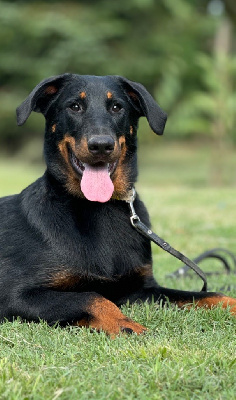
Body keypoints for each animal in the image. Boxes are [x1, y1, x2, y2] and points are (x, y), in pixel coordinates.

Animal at [0, 73, 235, 336]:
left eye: (116, 107)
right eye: (74, 106)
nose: (101, 145)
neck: (99, 207)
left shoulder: (140, 289)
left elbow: (207, 295)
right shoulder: (15, 294)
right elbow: (91, 297)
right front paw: (126, 324)